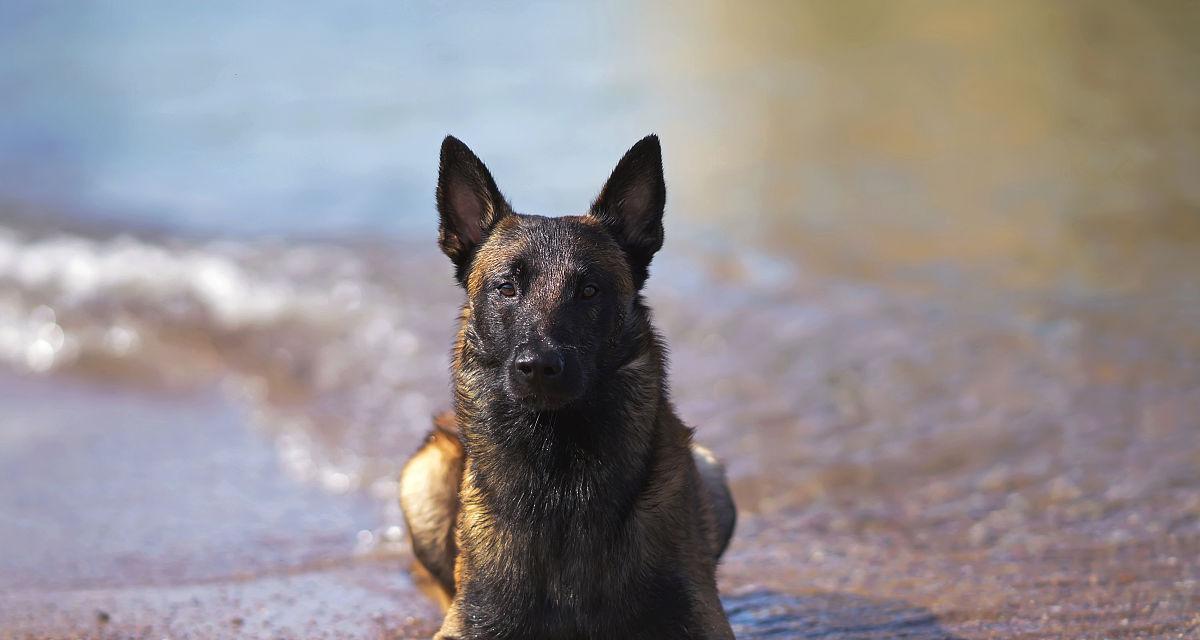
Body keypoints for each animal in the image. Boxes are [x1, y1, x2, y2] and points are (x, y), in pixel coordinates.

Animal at [403, 134, 734, 638]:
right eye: (506, 288)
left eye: (589, 290)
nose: (539, 366)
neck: (560, 479)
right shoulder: (471, 621)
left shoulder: (699, 618)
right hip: (421, 477)